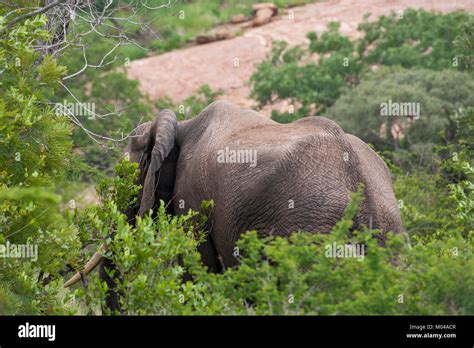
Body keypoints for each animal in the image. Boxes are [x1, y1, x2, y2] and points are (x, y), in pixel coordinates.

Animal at [65, 98, 402, 300]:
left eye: (126, 178)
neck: (182, 126)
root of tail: (357, 179)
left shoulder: (193, 196)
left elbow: (197, 266)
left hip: (310, 226)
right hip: (385, 225)